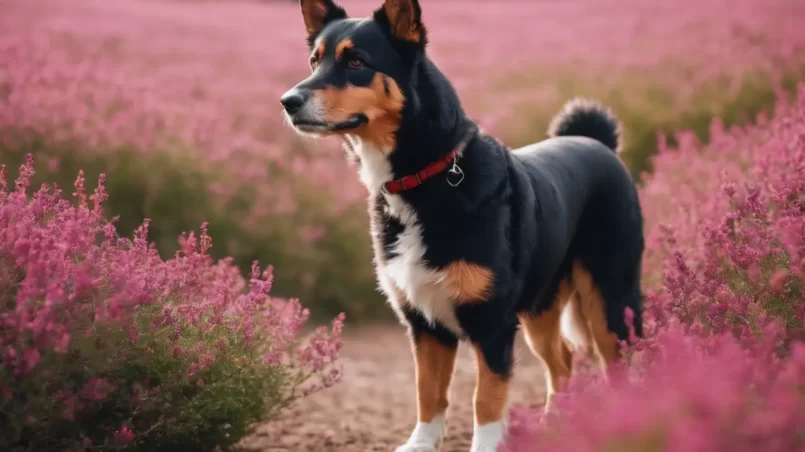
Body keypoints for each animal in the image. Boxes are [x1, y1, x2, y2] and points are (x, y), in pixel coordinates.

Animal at [282, 1, 648, 450]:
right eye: (315, 61)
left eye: (356, 62)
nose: (288, 101)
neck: (423, 178)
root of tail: (596, 142)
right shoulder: (425, 325)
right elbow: (428, 394)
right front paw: (420, 444)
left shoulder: (492, 325)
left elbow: (486, 402)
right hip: (540, 305)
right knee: (561, 359)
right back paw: (553, 423)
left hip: (609, 300)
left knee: (618, 367)